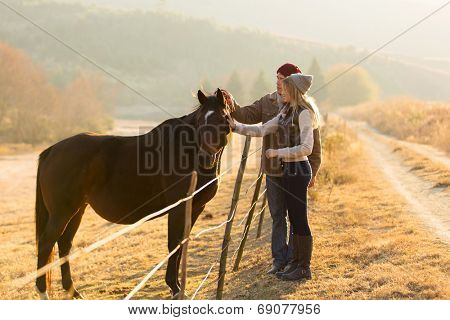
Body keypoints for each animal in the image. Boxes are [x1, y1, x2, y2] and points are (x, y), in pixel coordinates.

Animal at [34, 89, 236, 298]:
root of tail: (52, 150)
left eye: (222, 120)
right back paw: (44, 293)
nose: (206, 158)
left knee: (64, 244)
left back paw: (73, 291)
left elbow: (182, 243)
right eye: (200, 122)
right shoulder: (179, 207)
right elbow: (174, 244)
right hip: (62, 212)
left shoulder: (196, 207)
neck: (185, 152)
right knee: (46, 244)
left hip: (77, 210)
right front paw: (175, 288)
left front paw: (178, 286)